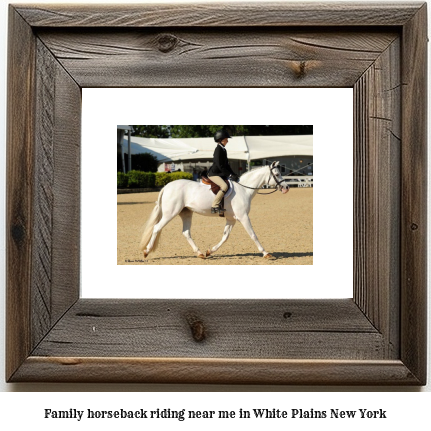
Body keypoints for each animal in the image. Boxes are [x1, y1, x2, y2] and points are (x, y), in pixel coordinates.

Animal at [141, 160, 290, 258]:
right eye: (277, 174)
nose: (286, 188)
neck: (244, 189)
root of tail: (167, 186)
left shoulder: (231, 219)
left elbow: (225, 237)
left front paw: (210, 251)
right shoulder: (243, 217)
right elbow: (253, 235)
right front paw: (266, 253)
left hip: (186, 213)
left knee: (186, 232)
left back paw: (200, 253)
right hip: (170, 213)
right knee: (157, 228)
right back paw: (146, 251)